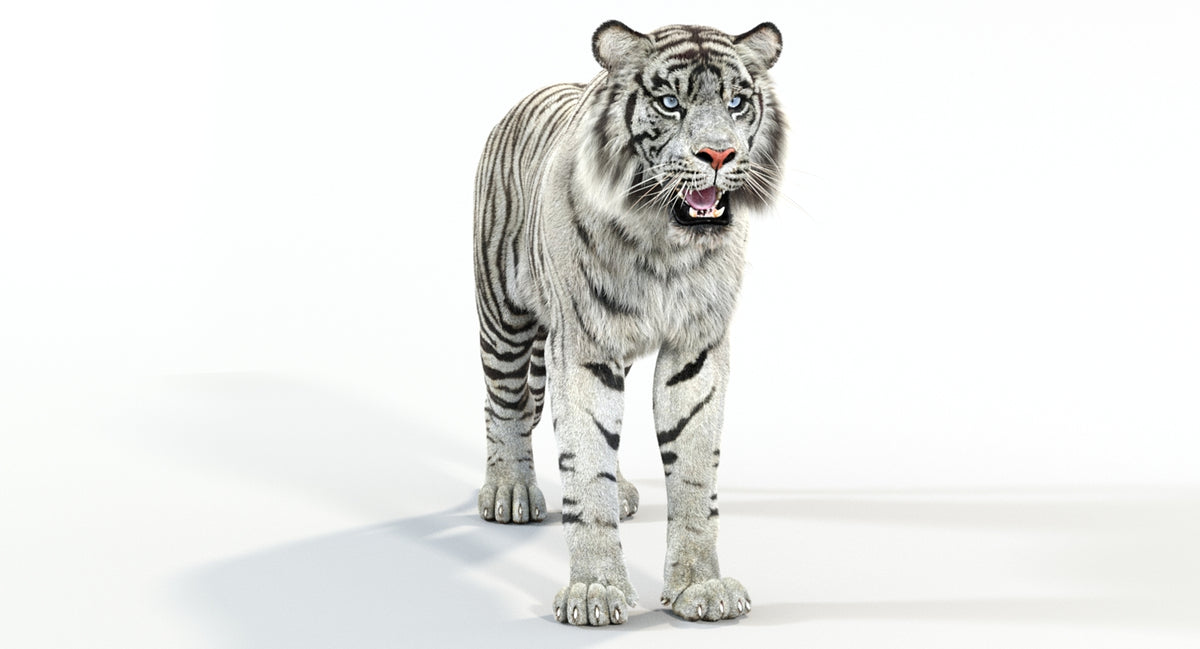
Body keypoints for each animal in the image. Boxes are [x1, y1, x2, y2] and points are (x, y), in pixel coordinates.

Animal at [473, 20, 786, 625]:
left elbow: (692, 470)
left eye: (737, 102)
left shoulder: (696, 348)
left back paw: (619, 491)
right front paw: (595, 591)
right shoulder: (583, 346)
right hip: (503, 313)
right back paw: (509, 490)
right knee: (505, 405)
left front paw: (700, 587)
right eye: (670, 103)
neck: (663, 243)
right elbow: (585, 461)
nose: (719, 153)